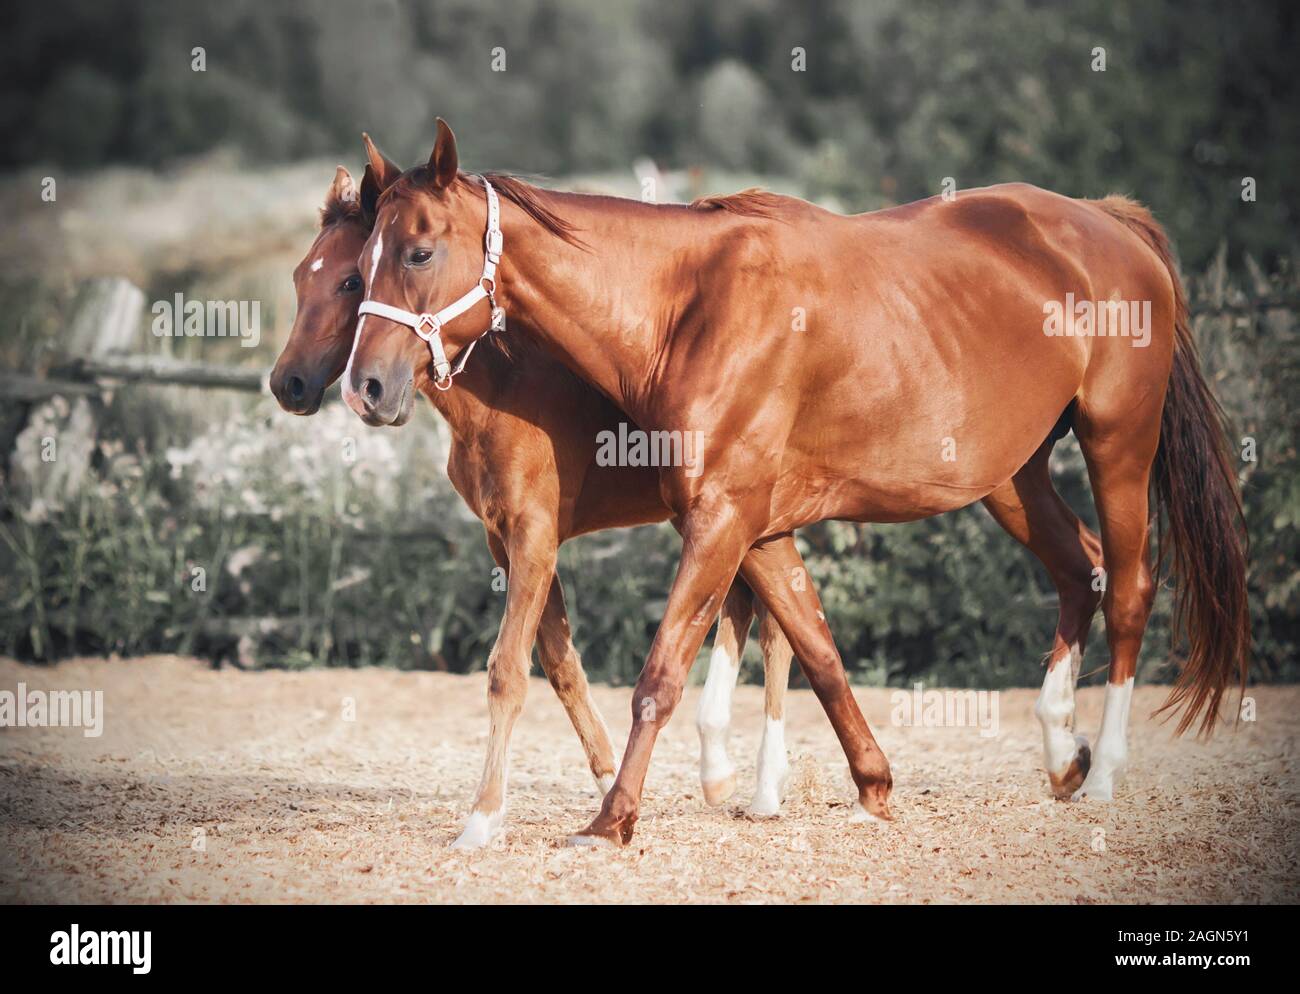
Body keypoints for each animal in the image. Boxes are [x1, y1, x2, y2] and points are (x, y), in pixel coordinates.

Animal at [348, 118, 1248, 847]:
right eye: (359, 266)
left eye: (419, 252)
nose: (367, 388)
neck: (689, 310)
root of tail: (1110, 221)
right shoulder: (760, 526)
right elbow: (816, 651)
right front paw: (871, 784)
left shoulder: (721, 518)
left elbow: (661, 675)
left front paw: (613, 819)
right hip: (1012, 477)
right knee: (1077, 569)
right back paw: (1063, 752)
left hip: (1117, 444)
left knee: (1127, 585)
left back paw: (1103, 776)